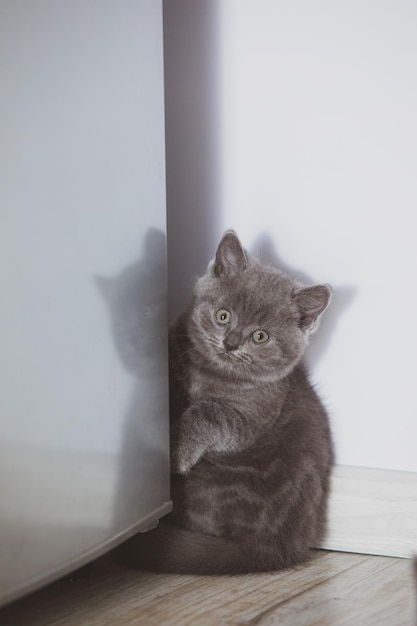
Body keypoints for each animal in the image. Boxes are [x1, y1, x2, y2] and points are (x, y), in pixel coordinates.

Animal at [119, 230, 332, 576]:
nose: (230, 344)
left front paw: (177, 451)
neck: (210, 370)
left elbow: (210, 412)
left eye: (260, 336)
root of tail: (278, 547)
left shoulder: (251, 415)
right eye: (223, 316)